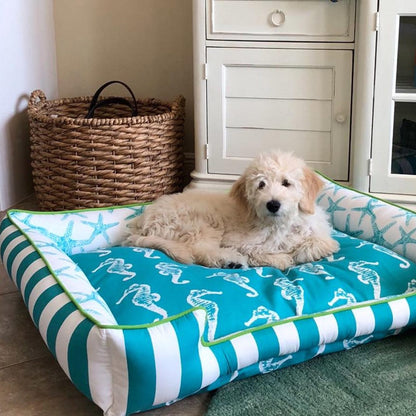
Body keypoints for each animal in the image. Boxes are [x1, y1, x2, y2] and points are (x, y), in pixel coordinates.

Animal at [125, 150, 340, 270]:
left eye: (286, 183)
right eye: (261, 185)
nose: (273, 204)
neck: (278, 224)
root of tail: (140, 223)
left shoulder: (318, 230)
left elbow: (323, 243)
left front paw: (300, 252)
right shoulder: (238, 241)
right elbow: (257, 251)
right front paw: (281, 259)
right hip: (197, 224)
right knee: (200, 250)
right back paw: (229, 260)